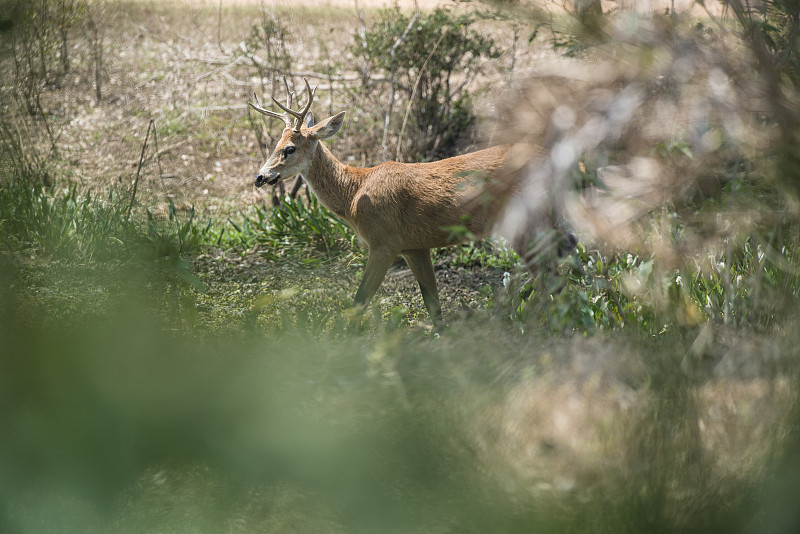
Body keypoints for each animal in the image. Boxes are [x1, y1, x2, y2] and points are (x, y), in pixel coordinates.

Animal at [250, 77, 576, 324]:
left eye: (289, 149)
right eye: (276, 144)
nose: (260, 177)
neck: (354, 192)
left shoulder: (384, 243)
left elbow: (359, 302)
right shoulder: (414, 247)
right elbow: (434, 308)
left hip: (528, 221)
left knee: (552, 276)